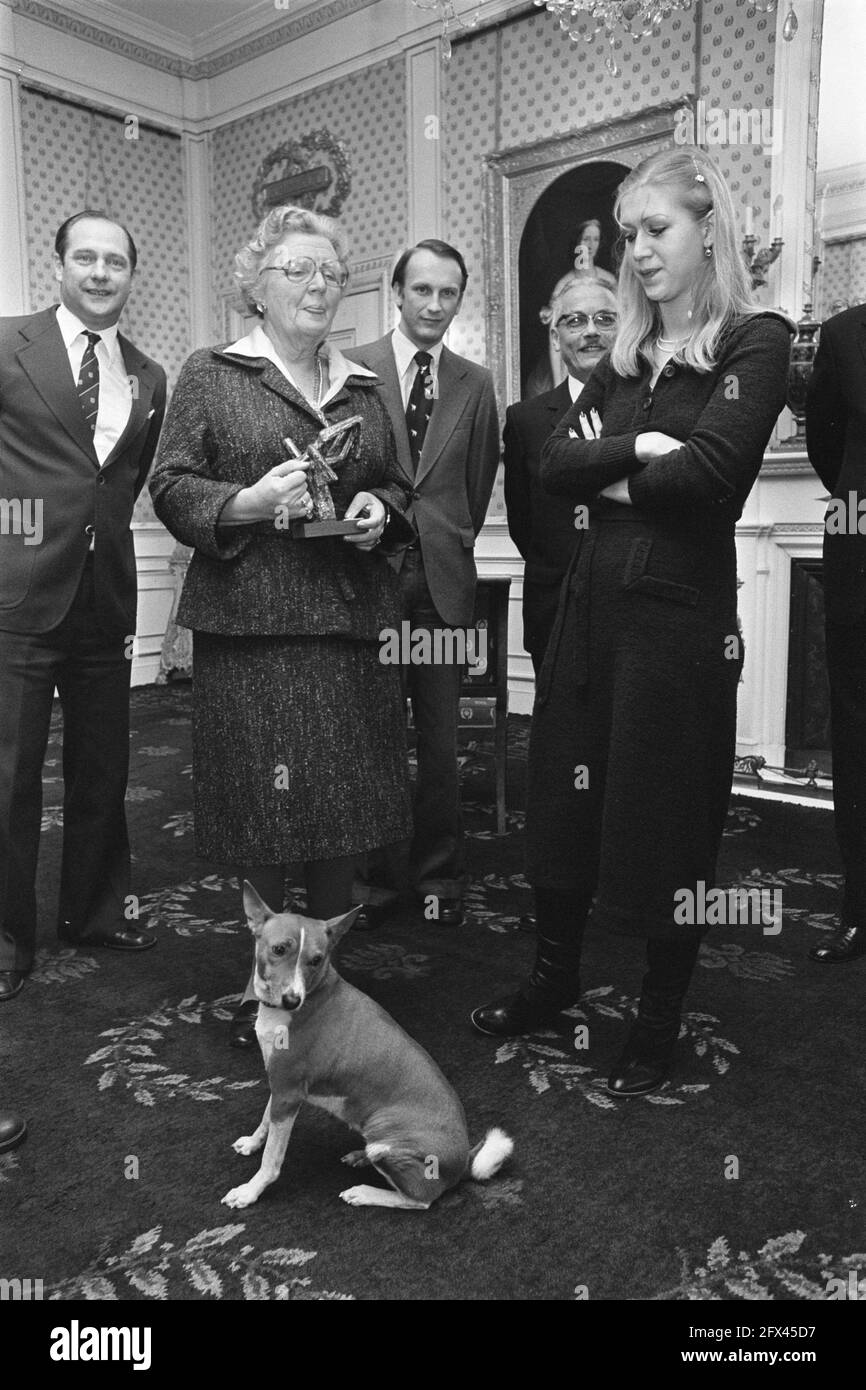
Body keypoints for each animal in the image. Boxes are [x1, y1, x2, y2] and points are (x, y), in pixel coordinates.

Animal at [222, 884, 514, 1212]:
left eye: (316, 960)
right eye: (279, 949)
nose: (292, 1000)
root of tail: (463, 1163)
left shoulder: (290, 1093)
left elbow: (272, 1159)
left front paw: (250, 1191)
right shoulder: (280, 1085)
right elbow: (265, 1119)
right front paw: (252, 1142)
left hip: (388, 1144)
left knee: (419, 1200)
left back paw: (363, 1192)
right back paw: (359, 1157)